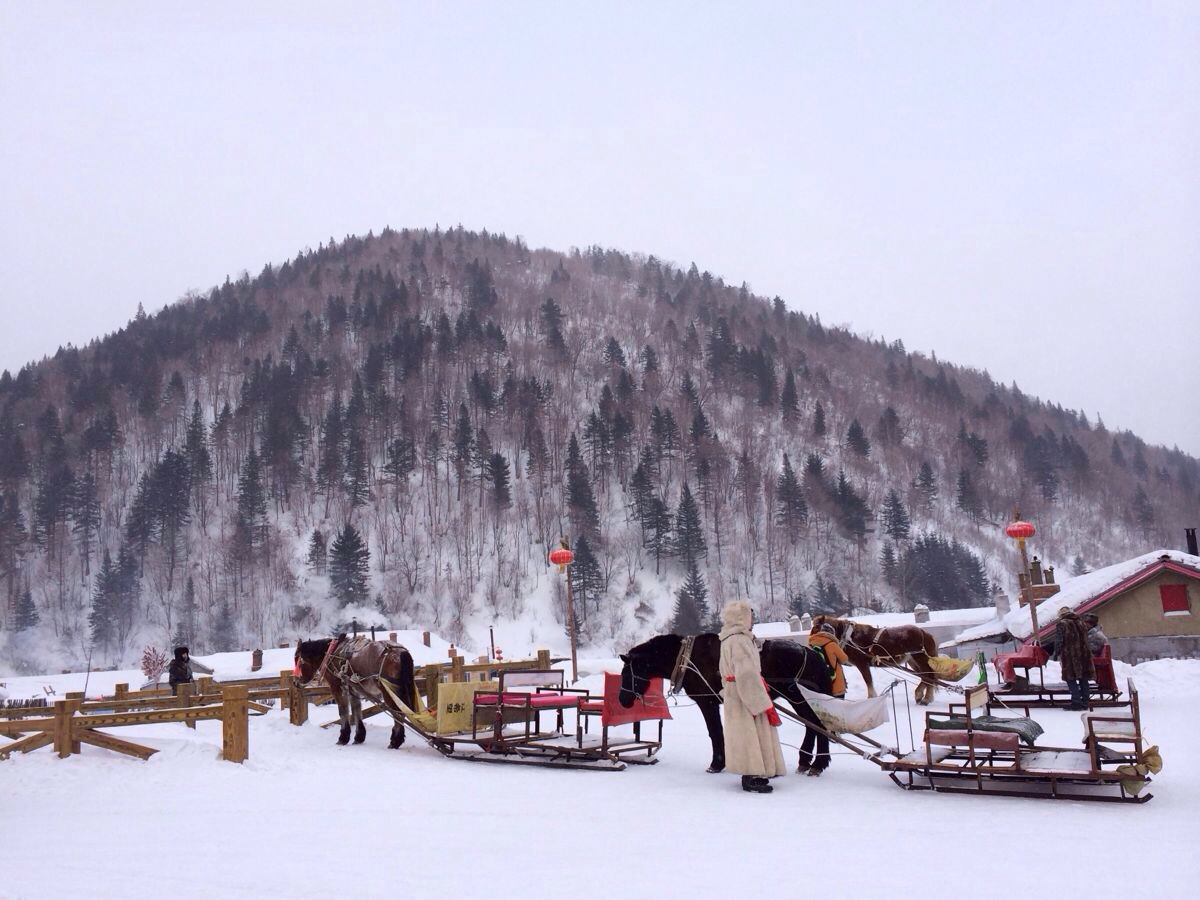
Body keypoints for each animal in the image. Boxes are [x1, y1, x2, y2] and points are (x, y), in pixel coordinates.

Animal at [619, 633, 835, 777]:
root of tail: (813, 655)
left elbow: (714, 732)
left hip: (799, 696)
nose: (622, 700)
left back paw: (818, 763)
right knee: (811, 726)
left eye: (626, 674)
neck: (687, 659)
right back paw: (805, 761)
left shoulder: (707, 702)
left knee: (818, 725)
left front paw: (716, 764)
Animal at [811, 619, 940, 710]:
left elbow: (868, 679)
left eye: (816, 628)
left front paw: (871, 697)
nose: (810, 642)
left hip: (920, 658)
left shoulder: (862, 663)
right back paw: (920, 696)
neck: (850, 638)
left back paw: (926, 699)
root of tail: (924, 632)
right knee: (925, 676)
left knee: (929, 676)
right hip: (912, 661)